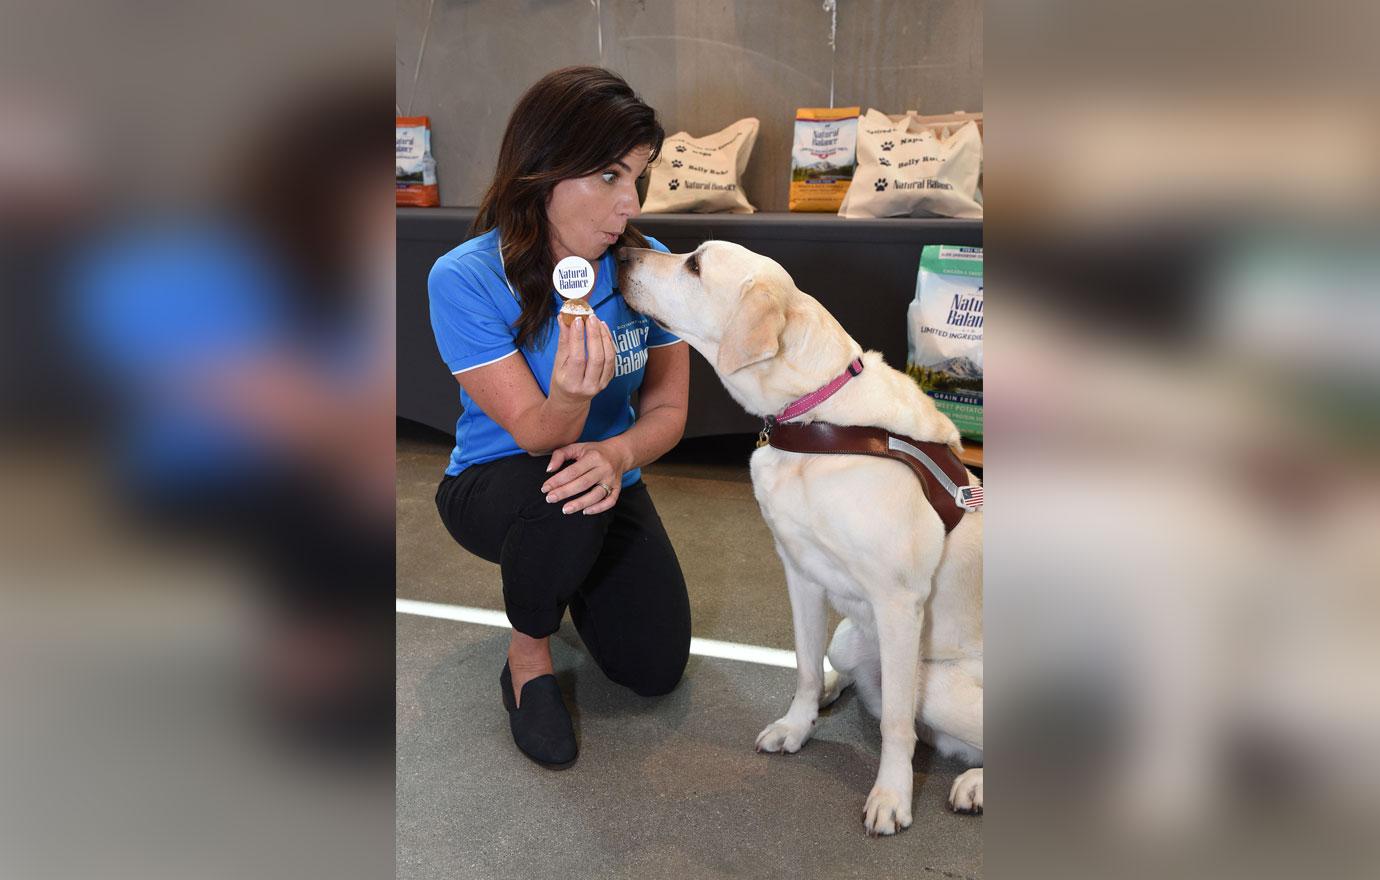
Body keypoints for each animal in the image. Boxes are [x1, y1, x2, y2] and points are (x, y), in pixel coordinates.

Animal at [621, 241, 988, 833]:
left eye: (694, 264)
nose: (622, 252)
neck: (815, 417)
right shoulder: (800, 574)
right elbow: (805, 668)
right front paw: (798, 725)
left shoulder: (897, 602)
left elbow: (895, 725)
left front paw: (892, 795)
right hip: (851, 636)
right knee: (846, 669)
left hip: (939, 688)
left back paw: (974, 782)